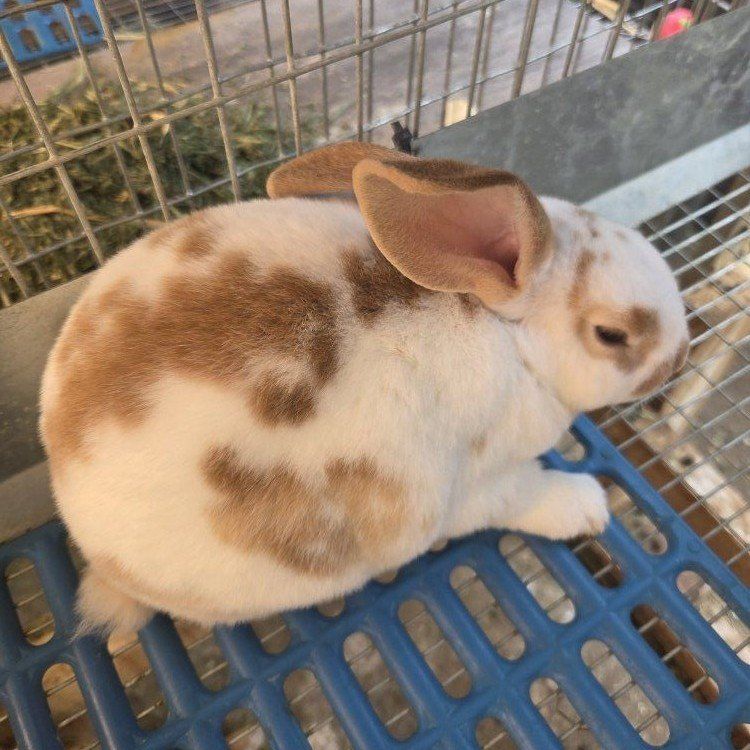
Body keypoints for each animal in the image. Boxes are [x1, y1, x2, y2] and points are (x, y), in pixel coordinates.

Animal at [39, 142, 689, 634]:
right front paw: (587, 507)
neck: (513, 344)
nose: (680, 357)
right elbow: (523, 496)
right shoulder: (468, 489)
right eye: (612, 334)